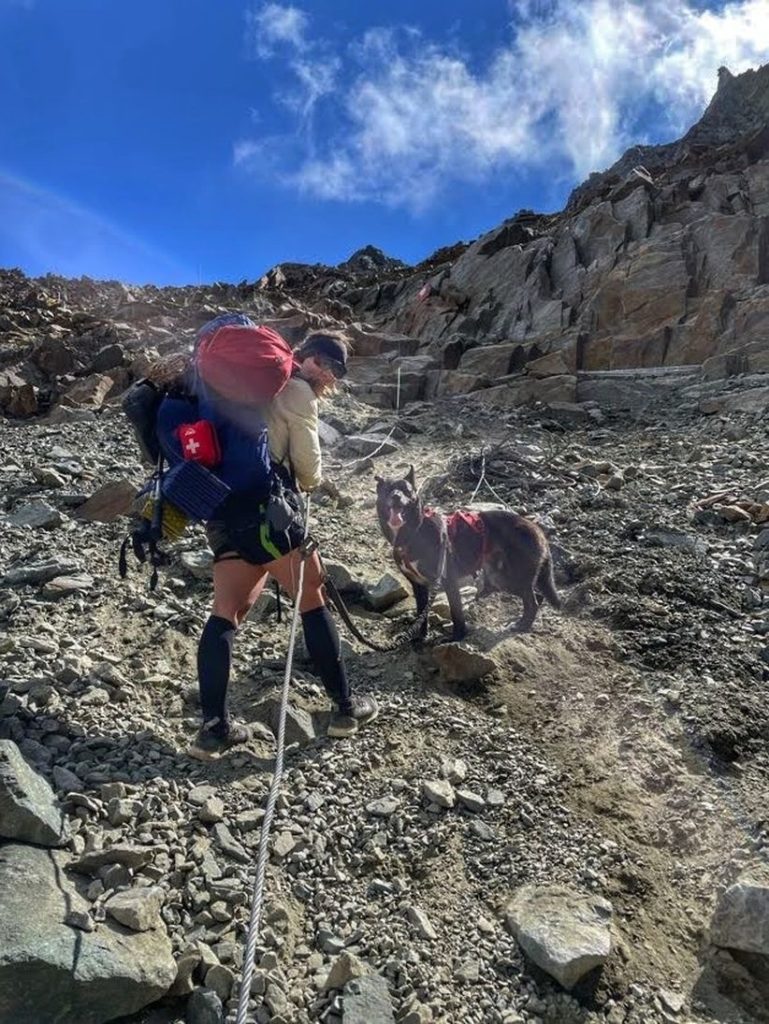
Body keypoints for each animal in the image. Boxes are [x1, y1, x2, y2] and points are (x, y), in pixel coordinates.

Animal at [374, 466, 561, 638]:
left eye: (406, 490)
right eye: (388, 489)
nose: (396, 496)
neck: (415, 531)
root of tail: (536, 529)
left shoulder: (448, 580)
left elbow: (456, 612)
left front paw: (457, 637)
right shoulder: (418, 585)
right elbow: (421, 614)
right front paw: (419, 639)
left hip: (512, 576)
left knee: (532, 602)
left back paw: (522, 625)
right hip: (500, 577)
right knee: (535, 597)